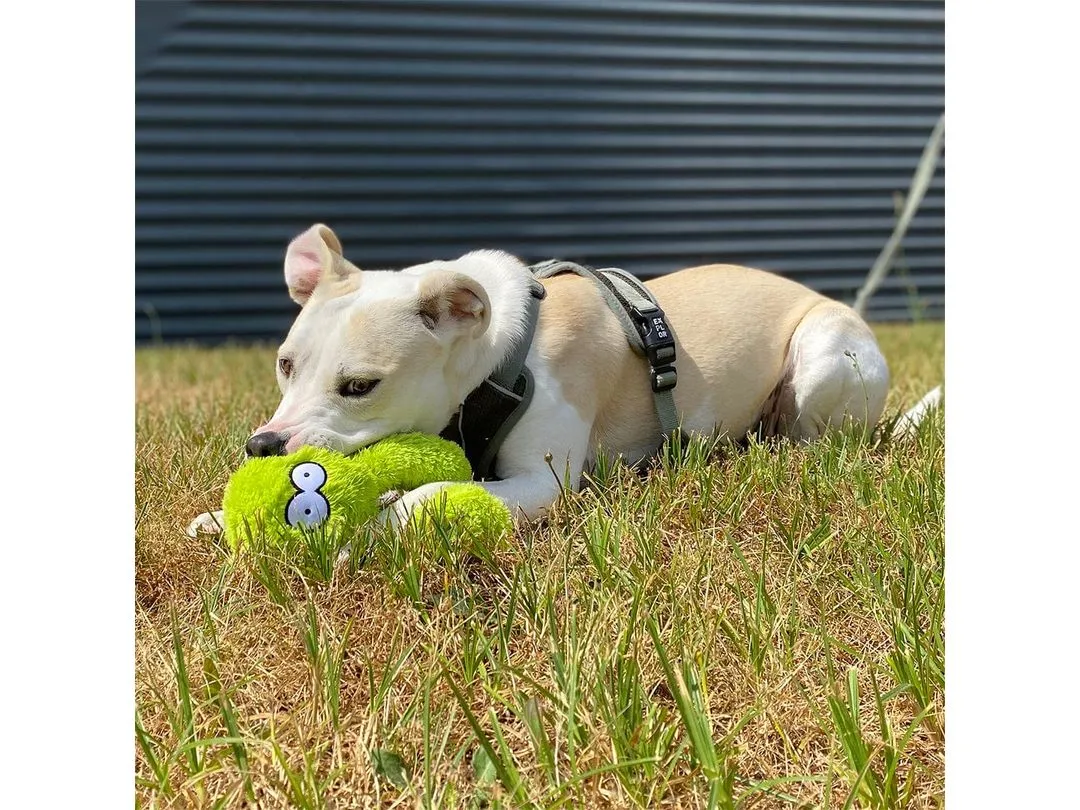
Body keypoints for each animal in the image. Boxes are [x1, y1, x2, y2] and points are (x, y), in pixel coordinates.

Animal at [190, 223, 889, 540]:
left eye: (360, 386)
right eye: (284, 364)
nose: (263, 447)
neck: (497, 361)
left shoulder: (541, 484)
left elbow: (425, 496)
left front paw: (359, 530)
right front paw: (222, 519)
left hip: (823, 357)